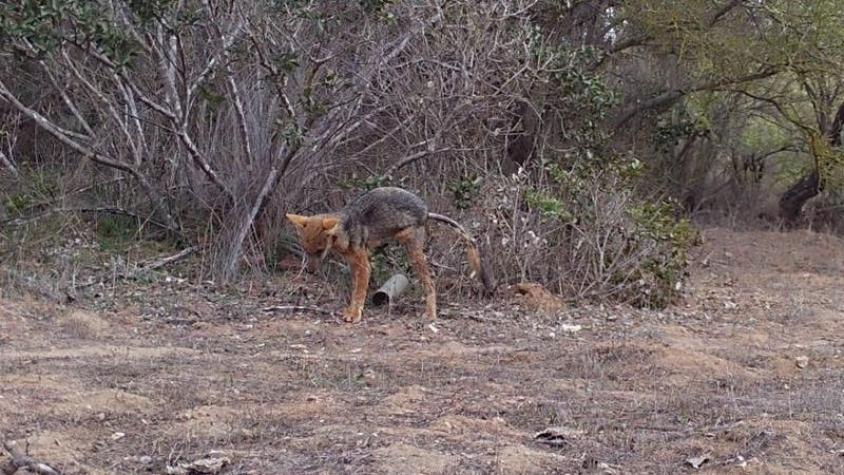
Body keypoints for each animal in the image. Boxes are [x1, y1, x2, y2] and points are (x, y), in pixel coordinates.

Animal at [286, 186, 494, 324]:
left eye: (319, 251)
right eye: (306, 250)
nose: (310, 272)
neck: (344, 233)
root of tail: (426, 211)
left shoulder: (364, 266)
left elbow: (359, 293)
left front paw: (355, 315)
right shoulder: (354, 265)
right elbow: (354, 291)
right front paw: (350, 310)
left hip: (411, 250)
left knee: (431, 281)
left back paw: (431, 315)